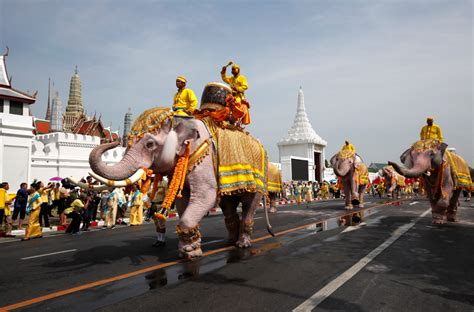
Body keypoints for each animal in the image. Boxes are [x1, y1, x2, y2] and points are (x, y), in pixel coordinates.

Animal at [89, 107, 272, 258]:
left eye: (150, 144)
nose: (115, 141)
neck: (179, 121)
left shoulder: (204, 157)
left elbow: (206, 196)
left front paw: (191, 253)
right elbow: (183, 199)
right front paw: (187, 250)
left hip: (258, 181)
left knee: (248, 206)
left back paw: (242, 244)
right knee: (228, 208)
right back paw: (229, 242)